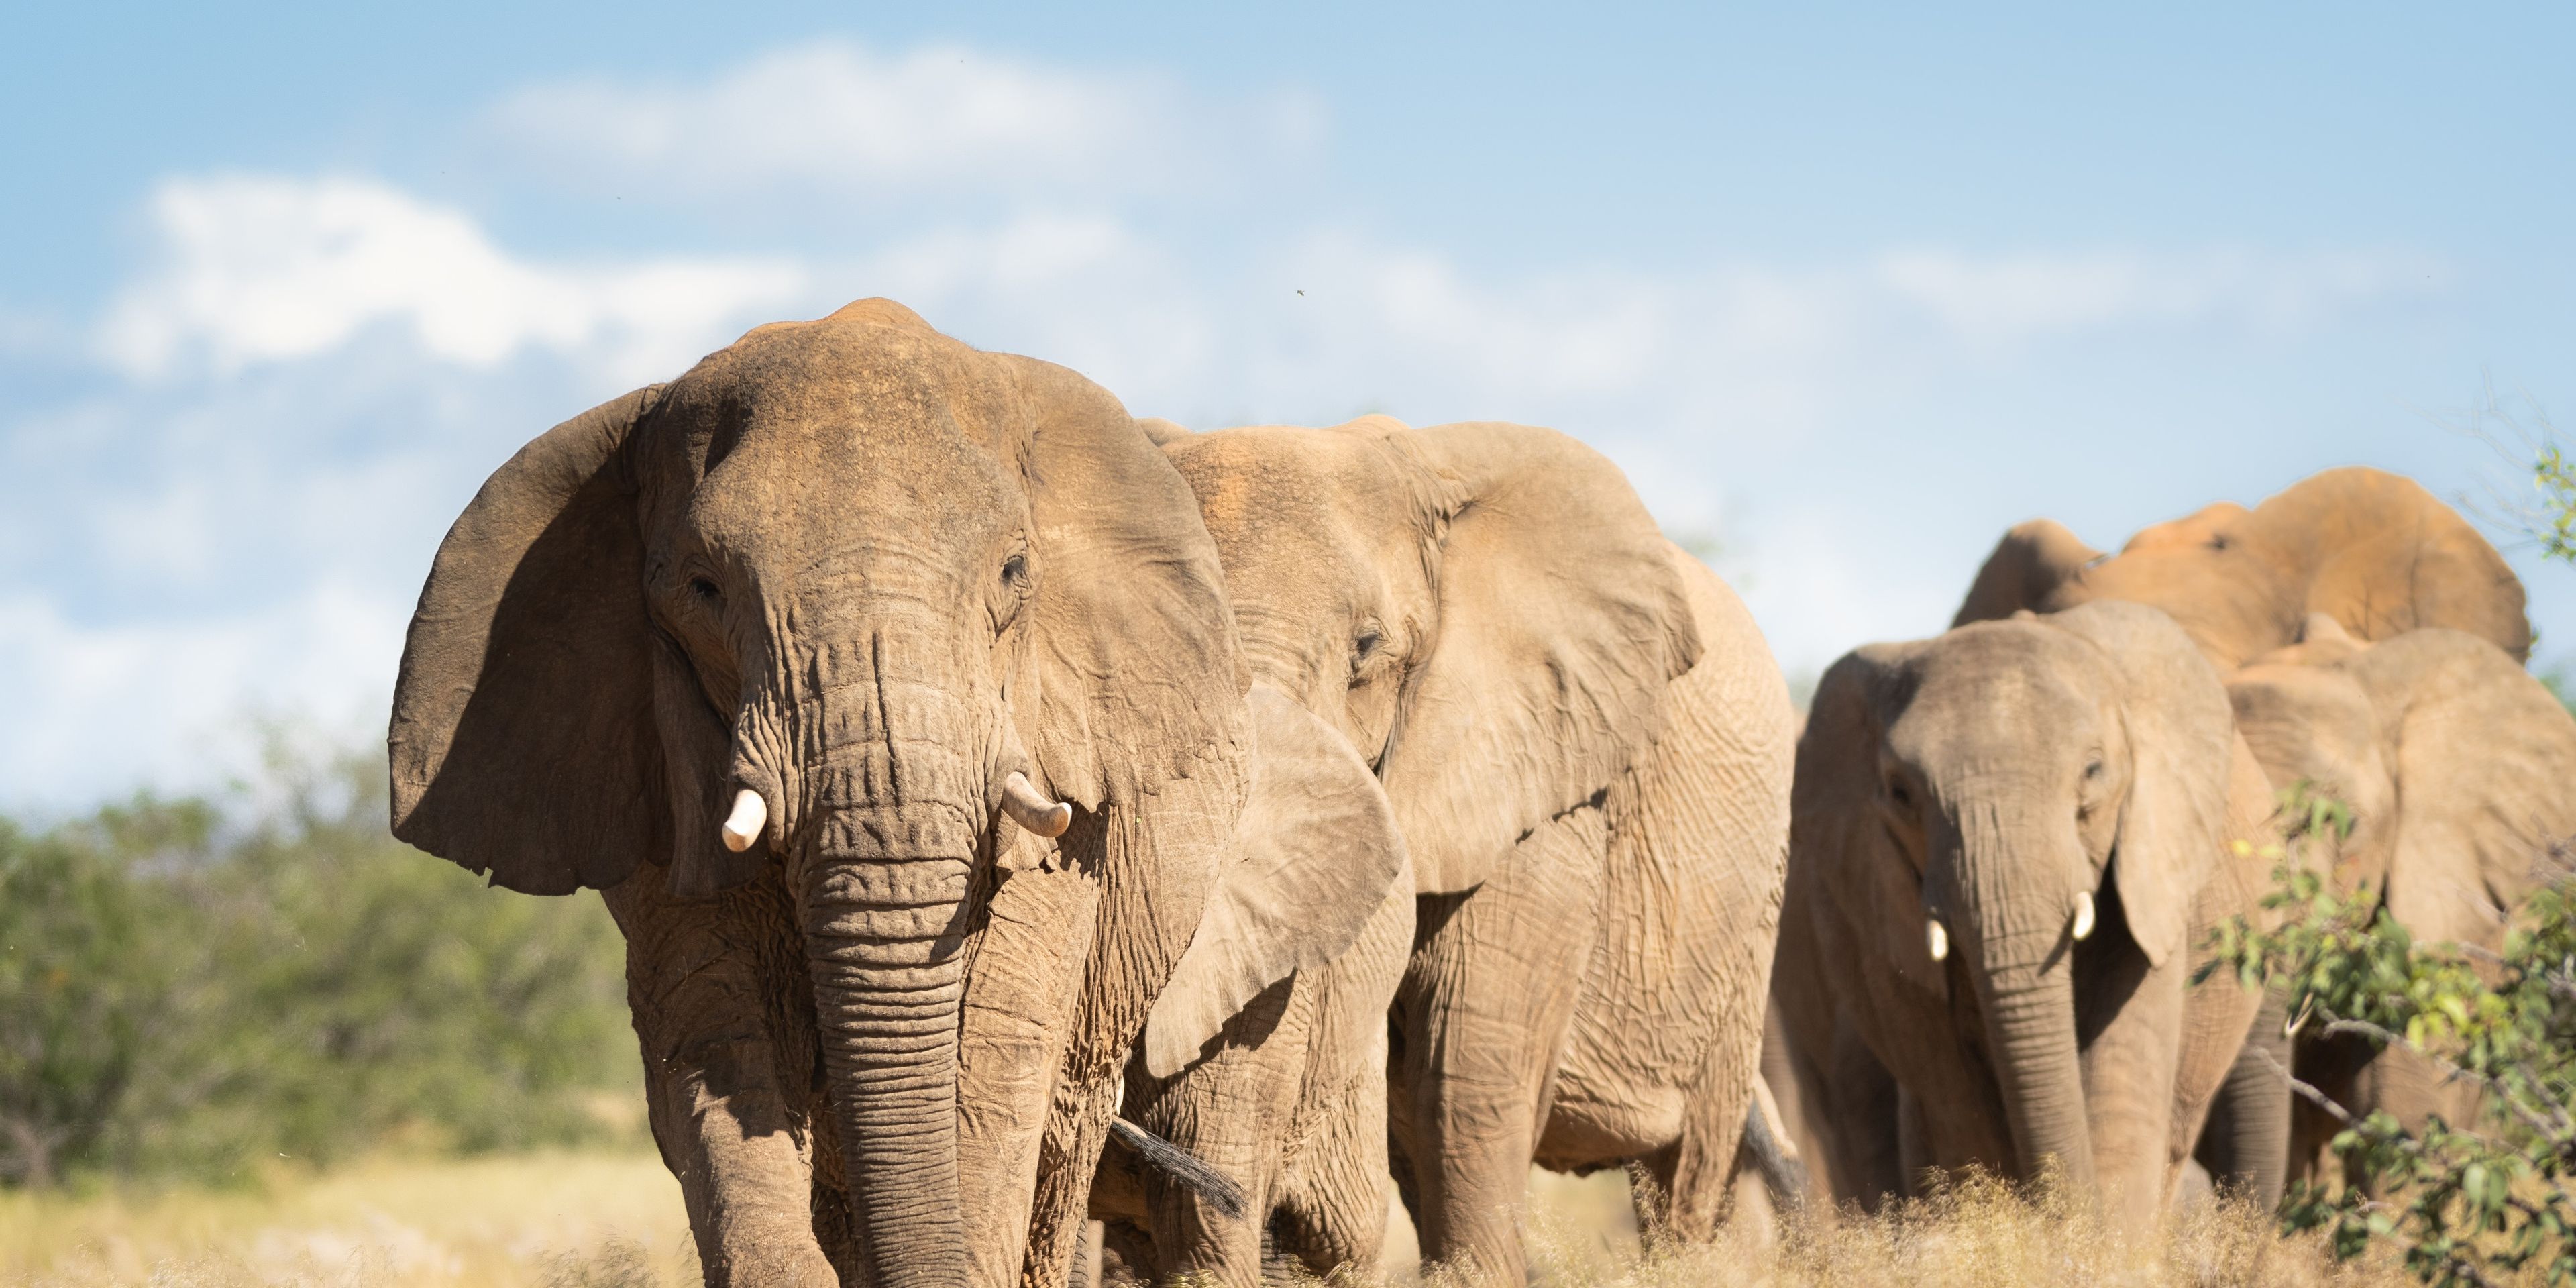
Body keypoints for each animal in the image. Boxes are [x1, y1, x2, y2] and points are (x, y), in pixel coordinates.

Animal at [1776, 600, 2286, 1232]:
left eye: (2093, 772)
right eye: (1900, 793)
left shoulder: (2154, 873)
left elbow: (2120, 1087)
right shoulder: (1875, 901)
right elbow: (1956, 1102)